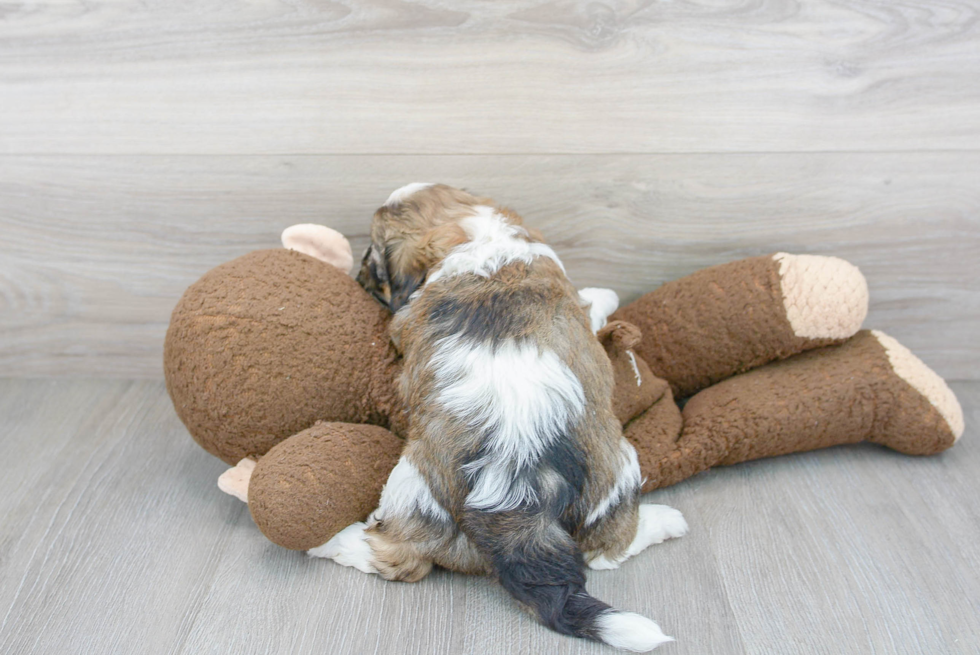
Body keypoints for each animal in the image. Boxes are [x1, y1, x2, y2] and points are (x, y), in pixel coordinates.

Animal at [310, 183, 684, 652]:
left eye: (374, 259)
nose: (358, 275)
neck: (478, 235)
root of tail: (516, 483)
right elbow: (593, 300)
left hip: (416, 490)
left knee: (396, 554)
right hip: (616, 469)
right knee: (609, 547)